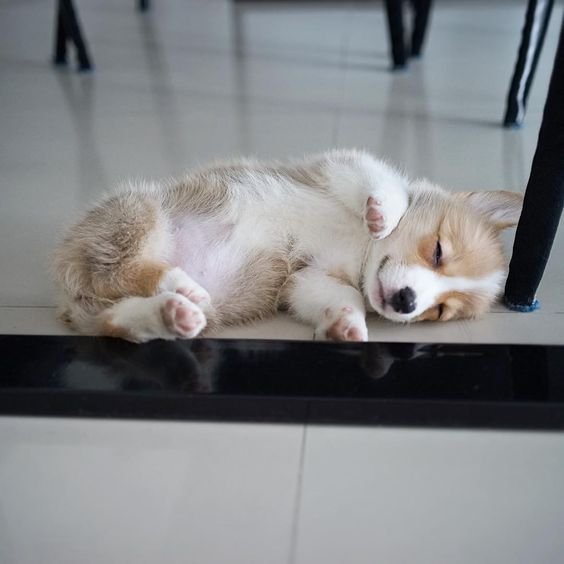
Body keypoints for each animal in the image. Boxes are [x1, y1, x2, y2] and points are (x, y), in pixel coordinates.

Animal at [54, 150, 524, 344]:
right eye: (438, 251)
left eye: (440, 312)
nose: (406, 302)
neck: (360, 251)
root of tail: (69, 284)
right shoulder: (339, 167)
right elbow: (385, 185)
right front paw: (383, 216)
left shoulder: (308, 280)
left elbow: (345, 297)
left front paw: (346, 326)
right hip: (138, 216)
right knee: (124, 268)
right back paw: (179, 283)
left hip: (124, 306)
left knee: (122, 318)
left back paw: (175, 312)